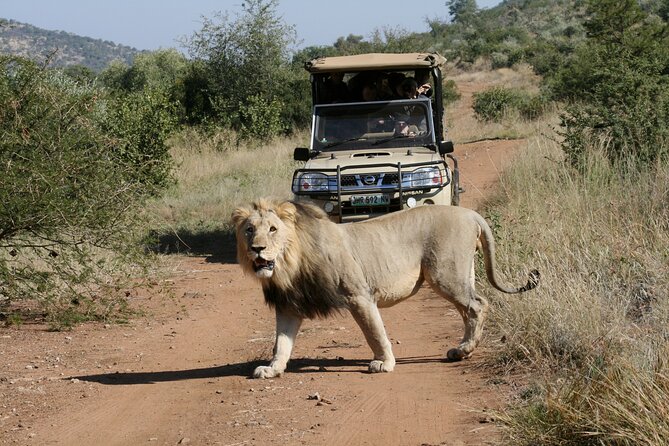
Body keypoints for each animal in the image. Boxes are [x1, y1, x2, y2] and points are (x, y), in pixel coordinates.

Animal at [232, 199, 539, 379]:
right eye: (249, 229)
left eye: (272, 229)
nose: (256, 249)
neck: (289, 265)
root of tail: (470, 213)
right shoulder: (289, 305)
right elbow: (281, 343)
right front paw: (272, 369)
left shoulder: (358, 295)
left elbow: (374, 332)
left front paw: (384, 363)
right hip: (461, 274)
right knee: (469, 310)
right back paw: (462, 350)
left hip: (445, 274)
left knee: (478, 305)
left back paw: (465, 349)